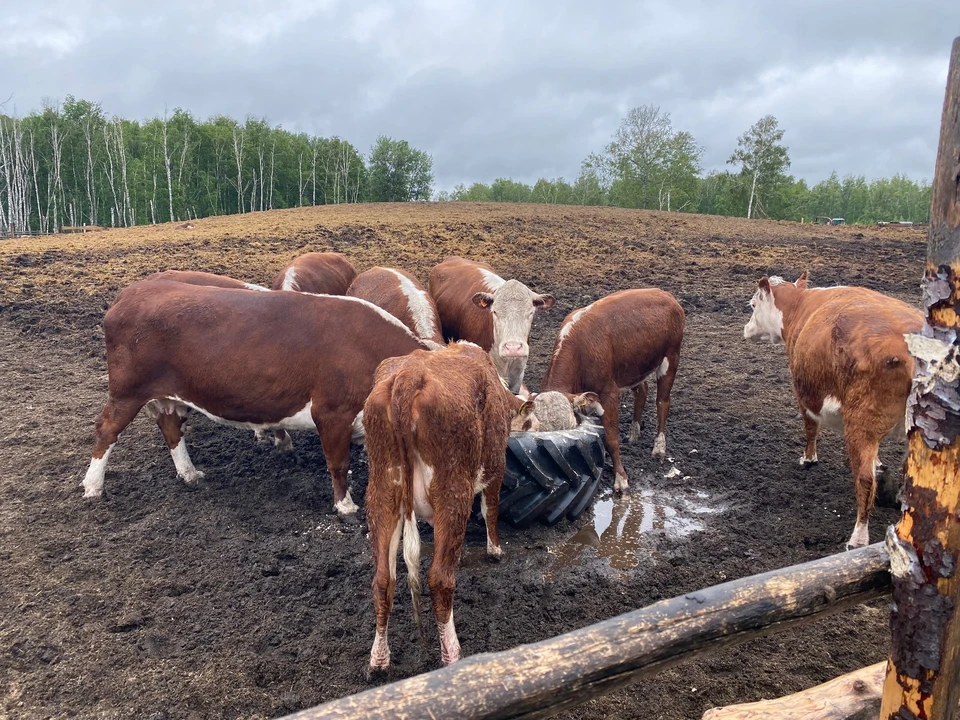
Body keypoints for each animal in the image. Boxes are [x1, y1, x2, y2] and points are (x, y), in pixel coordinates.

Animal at [82, 278, 428, 516]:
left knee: (170, 427)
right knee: (106, 430)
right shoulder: (332, 412)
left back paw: (190, 473)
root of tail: (134, 291)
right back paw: (93, 487)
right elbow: (338, 464)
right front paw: (345, 506)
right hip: (127, 392)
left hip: (172, 395)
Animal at [364, 342, 540, 668]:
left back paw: (379, 660)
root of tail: (410, 376)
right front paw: (495, 550)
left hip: (382, 491)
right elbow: (490, 508)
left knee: (383, 580)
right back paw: (452, 655)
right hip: (452, 488)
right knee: (439, 580)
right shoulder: (496, 465)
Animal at [544, 290, 688, 492]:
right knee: (642, 391)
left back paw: (659, 447)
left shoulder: (608, 393)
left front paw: (621, 478)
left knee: (663, 401)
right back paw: (634, 433)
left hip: (671, 357)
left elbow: (612, 439)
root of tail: (665, 294)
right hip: (633, 366)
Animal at [744, 272, 924, 548]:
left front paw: (808, 459)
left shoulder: (805, 396)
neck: (800, 307)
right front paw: (880, 465)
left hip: (860, 425)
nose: (746, 329)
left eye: (753, 305)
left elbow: (810, 429)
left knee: (865, 480)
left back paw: (858, 537)